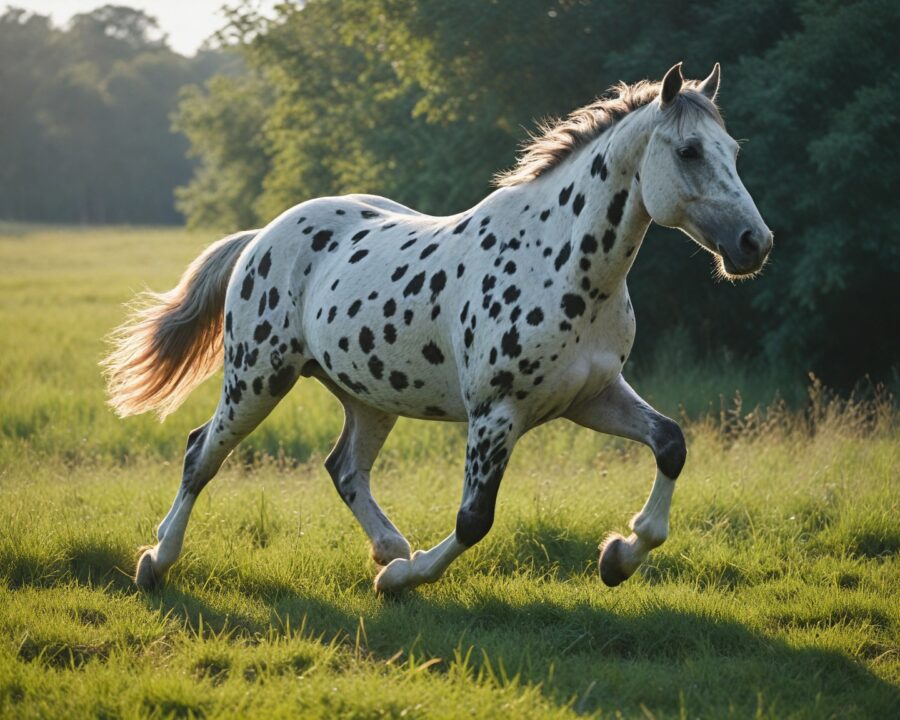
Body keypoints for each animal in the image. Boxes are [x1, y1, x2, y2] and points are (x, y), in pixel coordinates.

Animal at [103, 63, 772, 593]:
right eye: (688, 152)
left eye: (736, 152)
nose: (754, 243)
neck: (563, 265)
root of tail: (261, 237)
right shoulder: (496, 415)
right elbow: (473, 521)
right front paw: (405, 579)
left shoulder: (591, 396)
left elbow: (671, 444)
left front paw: (618, 557)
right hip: (257, 378)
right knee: (201, 454)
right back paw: (156, 563)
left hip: (368, 396)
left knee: (345, 469)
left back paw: (387, 548)